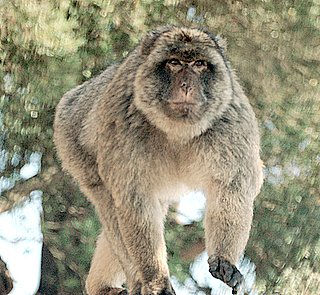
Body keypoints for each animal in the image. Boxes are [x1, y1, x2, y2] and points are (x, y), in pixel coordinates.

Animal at [53, 26, 262, 295]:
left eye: (199, 64)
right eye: (173, 63)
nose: (186, 85)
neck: (177, 131)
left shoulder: (231, 124)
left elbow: (233, 188)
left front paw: (224, 261)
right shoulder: (123, 122)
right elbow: (134, 201)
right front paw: (155, 279)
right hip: (71, 140)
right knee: (110, 204)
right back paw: (128, 282)